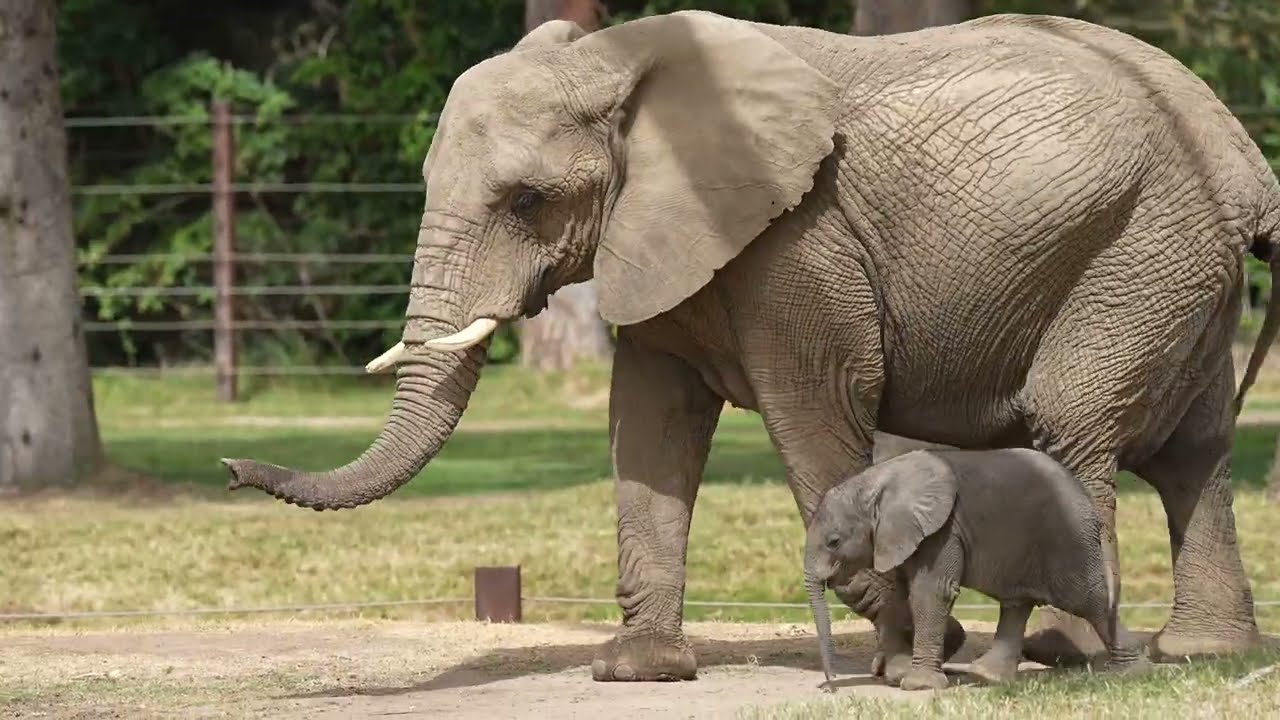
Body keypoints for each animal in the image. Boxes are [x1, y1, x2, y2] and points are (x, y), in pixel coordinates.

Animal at [805, 447, 1150, 691]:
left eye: (834, 541)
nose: (830, 686)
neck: (876, 480)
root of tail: (1089, 504)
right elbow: (902, 591)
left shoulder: (943, 529)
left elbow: (931, 592)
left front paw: (917, 685)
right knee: (1017, 602)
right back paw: (987, 678)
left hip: (1067, 541)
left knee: (1088, 599)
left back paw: (1130, 674)